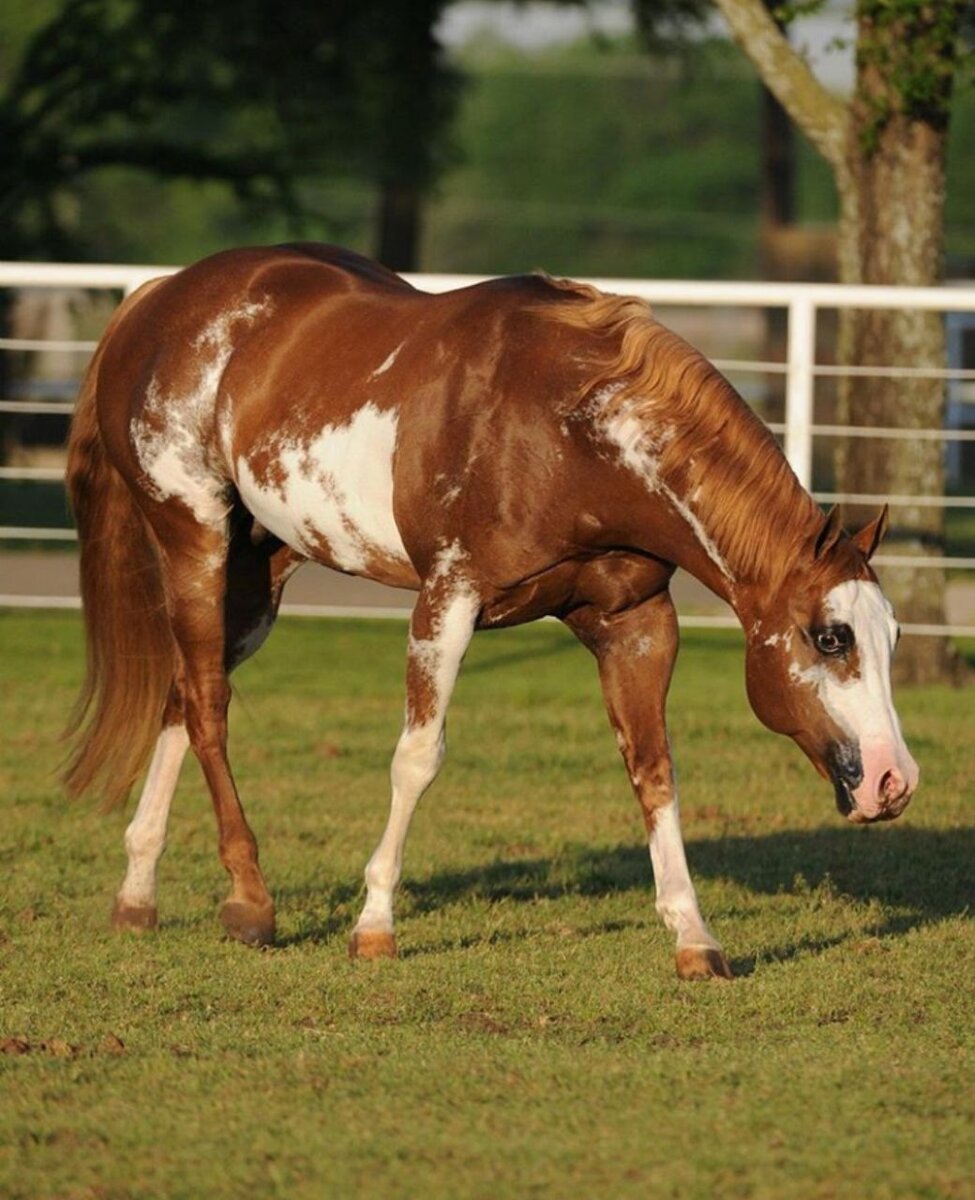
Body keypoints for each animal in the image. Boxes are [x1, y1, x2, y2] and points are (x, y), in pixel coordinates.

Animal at [64, 246, 917, 984]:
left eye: (892, 639)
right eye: (829, 636)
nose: (892, 780)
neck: (566, 430)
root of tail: (158, 299)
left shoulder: (635, 622)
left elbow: (653, 769)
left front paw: (693, 936)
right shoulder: (449, 599)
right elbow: (417, 758)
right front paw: (373, 926)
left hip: (258, 572)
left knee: (184, 691)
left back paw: (136, 894)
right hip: (194, 541)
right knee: (207, 704)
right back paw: (248, 900)